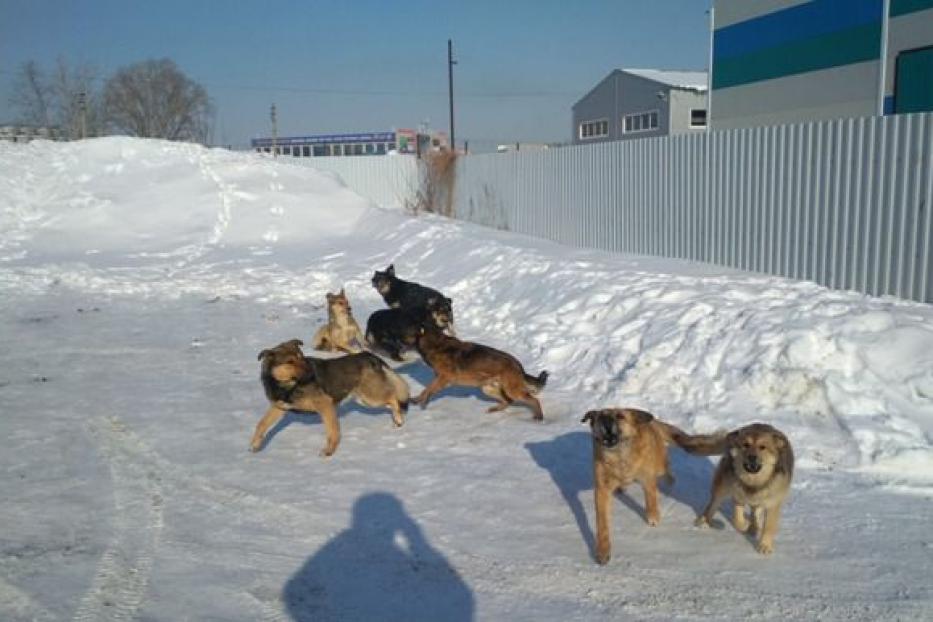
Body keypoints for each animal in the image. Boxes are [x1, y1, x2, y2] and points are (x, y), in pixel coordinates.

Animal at [249, 342, 410, 458]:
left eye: (301, 357)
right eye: (290, 362)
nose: (310, 372)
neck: (287, 385)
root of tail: (369, 355)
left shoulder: (326, 405)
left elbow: (333, 431)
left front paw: (328, 452)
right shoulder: (280, 407)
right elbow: (261, 424)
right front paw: (255, 445)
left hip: (370, 396)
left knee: (393, 397)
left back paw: (399, 418)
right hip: (363, 398)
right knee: (391, 401)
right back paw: (397, 418)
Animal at [414, 326, 548, 420]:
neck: (436, 344)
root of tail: (518, 365)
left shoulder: (444, 378)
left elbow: (428, 389)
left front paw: (421, 400)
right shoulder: (439, 379)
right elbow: (427, 390)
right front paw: (418, 399)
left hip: (512, 390)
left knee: (533, 400)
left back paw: (539, 416)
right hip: (488, 389)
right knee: (508, 401)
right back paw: (495, 409)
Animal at [584, 410, 684, 564]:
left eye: (620, 416)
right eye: (600, 416)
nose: (606, 419)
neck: (619, 457)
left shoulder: (647, 479)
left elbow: (651, 499)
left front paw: (653, 516)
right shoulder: (602, 490)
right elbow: (602, 523)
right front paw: (603, 551)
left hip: (659, 465)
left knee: (666, 469)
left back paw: (670, 480)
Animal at [672, 424, 796, 556]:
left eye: (762, 447)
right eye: (746, 445)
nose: (752, 457)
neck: (753, 482)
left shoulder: (772, 502)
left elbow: (769, 526)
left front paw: (764, 546)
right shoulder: (737, 495)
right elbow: (737, 519)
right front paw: (744, 525)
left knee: (755, 510)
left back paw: (754, 527)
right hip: (723, 484)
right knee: (713, 503)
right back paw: (704, 521)